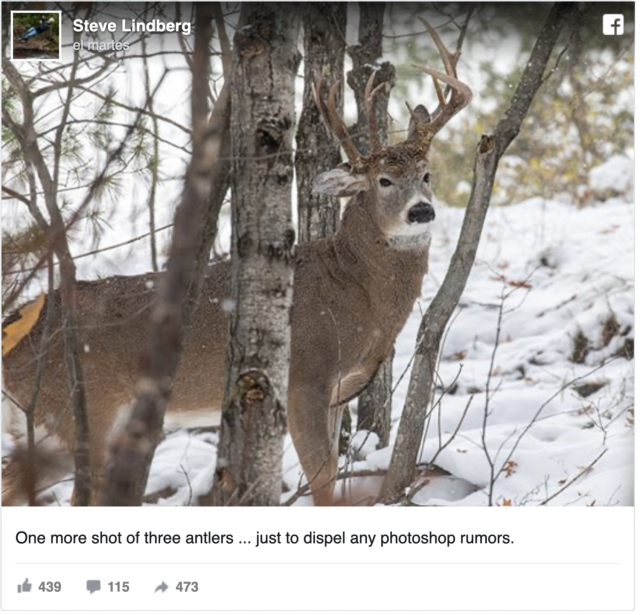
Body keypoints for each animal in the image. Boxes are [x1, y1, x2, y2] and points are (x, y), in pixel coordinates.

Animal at [2, 21, 472, 508]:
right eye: (383, 181)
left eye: (426, 176)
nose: (422, 211)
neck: (354, 291)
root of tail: (12, 327)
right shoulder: (304, 378)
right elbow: (323, 481)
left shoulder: (339, 392)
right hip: (81, 410)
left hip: (44, 425)